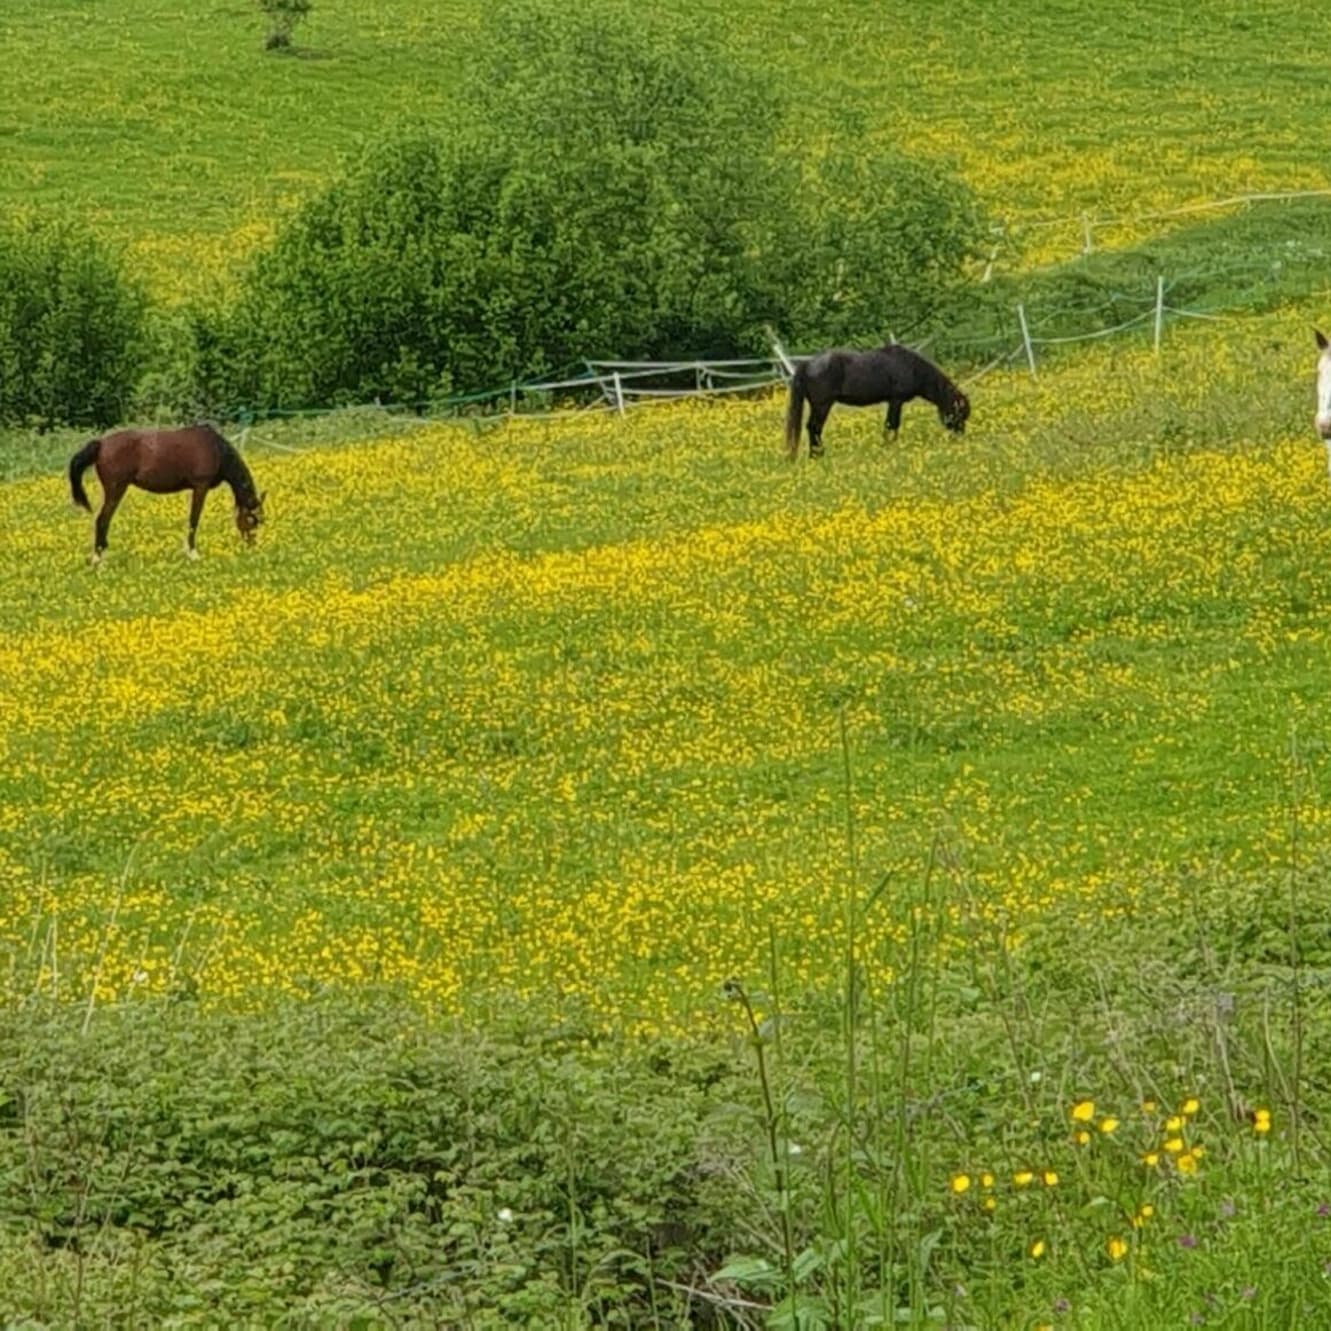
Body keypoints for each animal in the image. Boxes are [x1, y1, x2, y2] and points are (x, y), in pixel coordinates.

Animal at [68, 423, 264, 564]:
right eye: (252, 521)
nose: (251, 546)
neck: (215, 448)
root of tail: (101, 444)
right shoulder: (200, 487)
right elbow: (194, 520)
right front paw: (193, 554)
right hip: (116, 489)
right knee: (102, 519)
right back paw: (98, 560)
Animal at [782, 340, 974, 460]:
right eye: (958, 413)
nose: (959, 438)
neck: (912, 367)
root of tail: (807, 364)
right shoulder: (896, 400)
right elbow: (892, 424)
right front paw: (890, 447)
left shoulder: (892, 401)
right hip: (822, 405)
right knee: (814, 428)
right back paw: (818, 455)